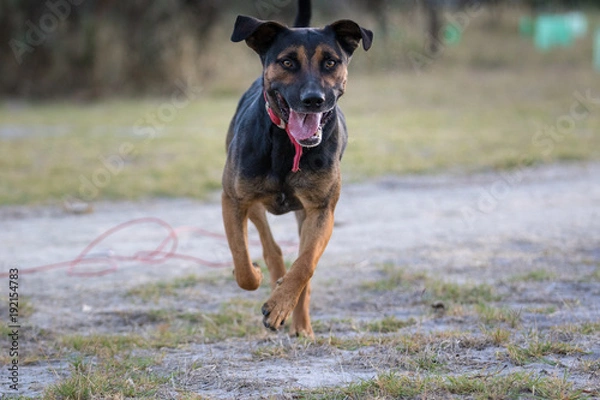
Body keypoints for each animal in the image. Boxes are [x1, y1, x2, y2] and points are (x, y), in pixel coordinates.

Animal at [221, 0, 370, 338]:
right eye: (288, 62)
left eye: (330, 62)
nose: (313, 100)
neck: (287, 144)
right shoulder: (233, 199)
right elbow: (241, 256)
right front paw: (255, 276)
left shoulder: (321, 209)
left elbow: (305, 264)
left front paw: (280, 305)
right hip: (252, 201)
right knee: (270, 247)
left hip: (303, 214)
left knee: (301, 266)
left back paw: (300, 324)